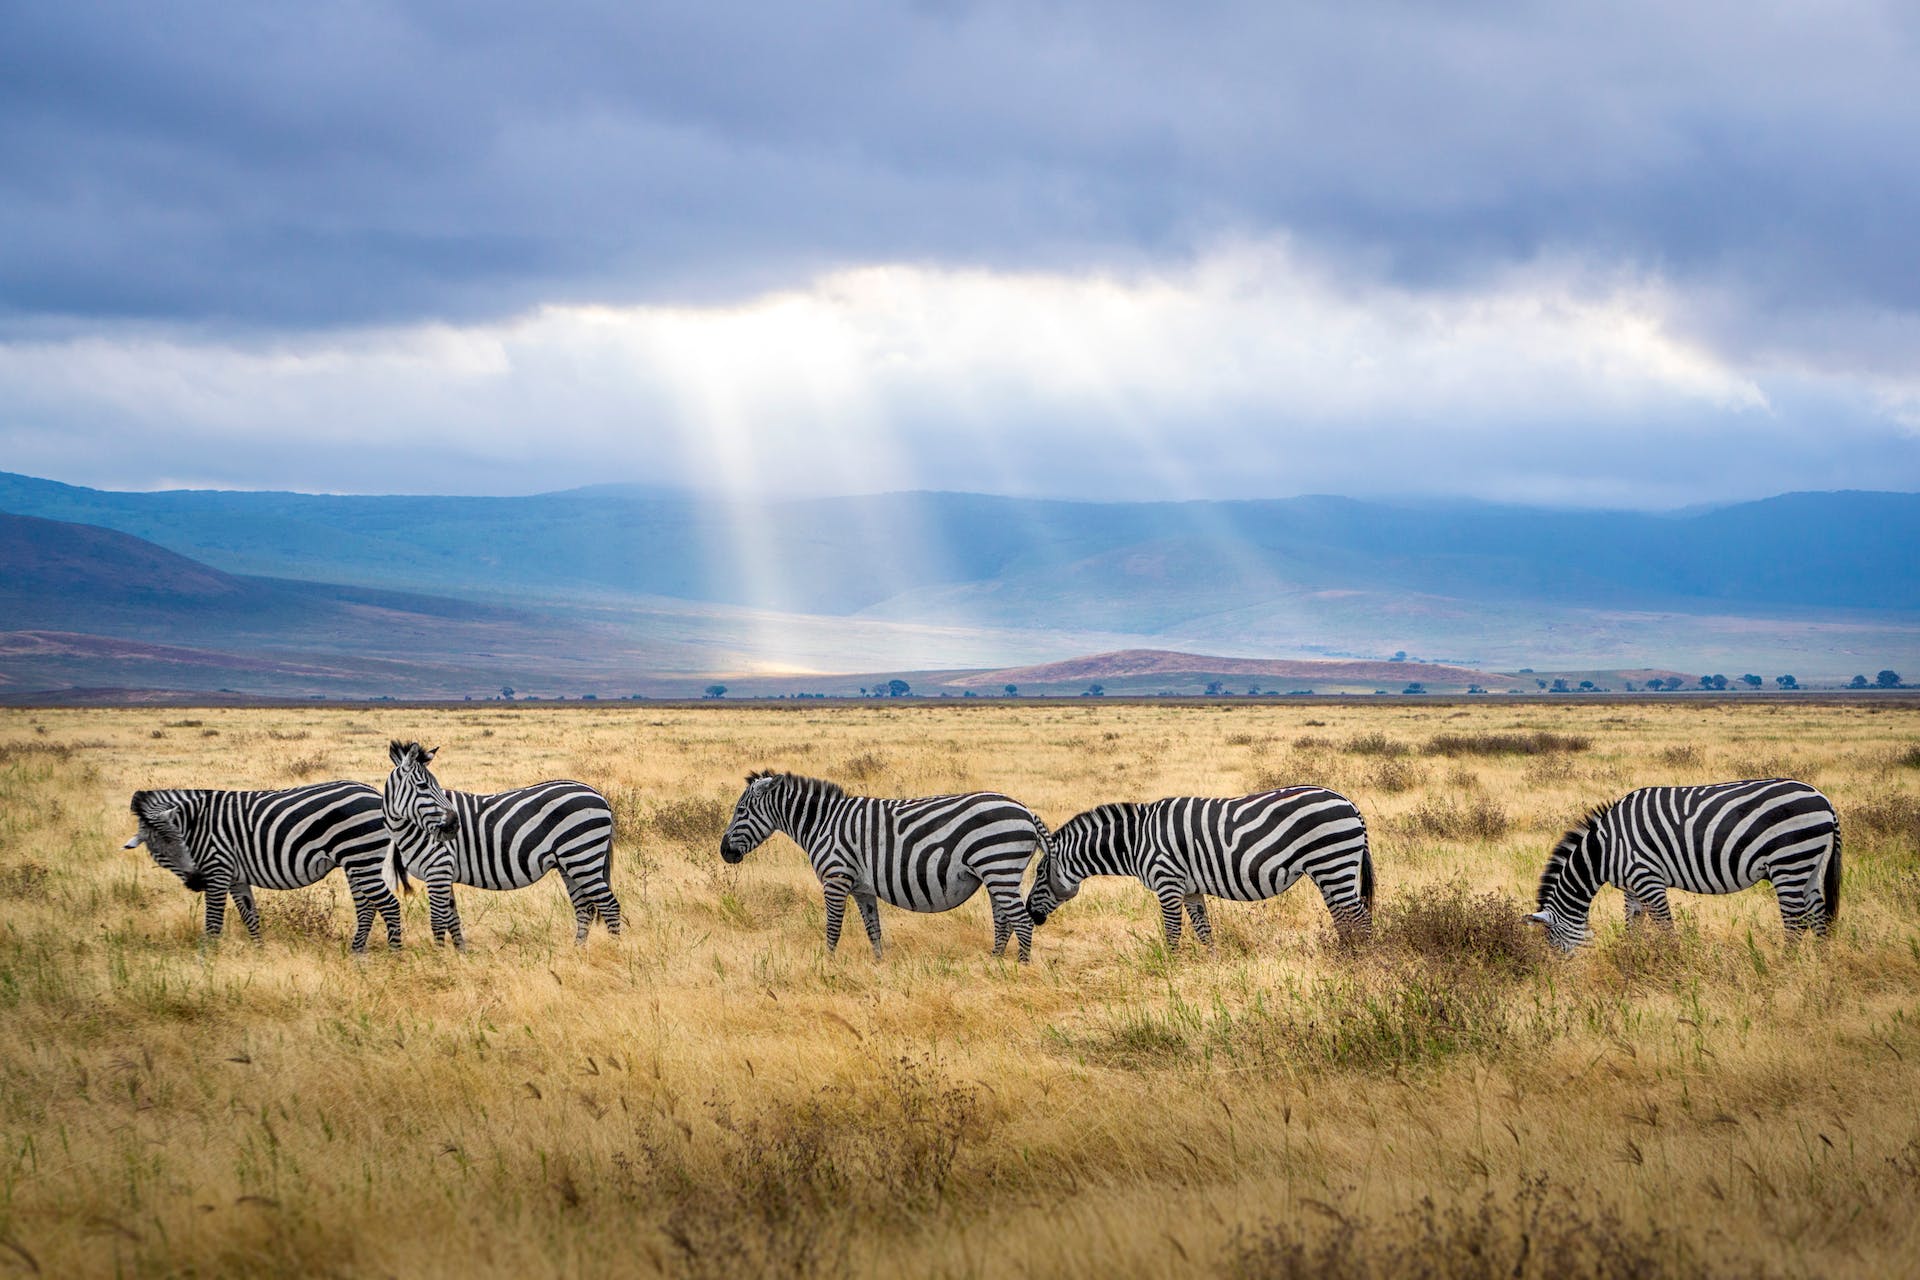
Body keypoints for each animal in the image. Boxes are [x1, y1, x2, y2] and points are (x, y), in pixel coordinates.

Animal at [122, 782, 401, 951]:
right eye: (159, 853)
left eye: (182, 841)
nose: (197, 882)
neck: (197, 824)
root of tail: (375, 793)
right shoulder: (235, 878)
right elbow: (250, 916)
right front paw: (259, 952)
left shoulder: (218, 869)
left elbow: (213, 922)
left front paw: (207, 960)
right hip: (356, 862)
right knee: (366, 907)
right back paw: (357, 953)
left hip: (361, 857)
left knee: (389, 905)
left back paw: (394, 955)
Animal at [385, 740, 625, 951]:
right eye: (423, 785)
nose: (454, 825)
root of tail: (598, 795)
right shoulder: (444, 873)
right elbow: (452, 919)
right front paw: (461, 955)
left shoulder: (438, 869)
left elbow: (438, 920)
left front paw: (440, 958)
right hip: (569, 864)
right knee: (585, 908)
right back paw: (578, 951)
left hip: (582, 856)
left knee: (609, 906)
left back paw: (614, 950)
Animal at [721, 771, 1052, 959]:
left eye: (740, 811)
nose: (724, 852)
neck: (822, 823)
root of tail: (1026, 810)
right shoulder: (862, 888)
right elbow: (873, 929)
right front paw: (879, 966)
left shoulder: (836, 878)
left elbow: (833, 928)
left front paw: (827, 965)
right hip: (997, 873)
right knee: (1003, 921)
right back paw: (994, 962)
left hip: (999, 867)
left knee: (1021, 922)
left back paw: (1020, 969)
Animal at [1029, 786, 1374, 948]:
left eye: (1039, 873)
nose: (1031, 914)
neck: (1136, 841)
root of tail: (1349, 803)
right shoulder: (1190, 889)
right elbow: (1204, 931)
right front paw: (1211, 966)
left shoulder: (1167, 882)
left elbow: (1172, 932)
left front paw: (1169, 970)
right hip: (1328, 870)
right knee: (1344, 916)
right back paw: (1344, 954)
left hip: (1332, 862)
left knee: (1359, 916)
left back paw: (1360, 959)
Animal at [1528, 775, 1843, 955]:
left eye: (1554, 943)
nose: (1563, 977)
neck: (1604, 850)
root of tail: (1824, 799)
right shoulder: (1631, 887)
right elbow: (1634, 925)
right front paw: (1632, 957)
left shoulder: (1648, 879)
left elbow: (1665, 927)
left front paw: (1673, 962)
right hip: (1809, 864)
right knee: (1818, 916)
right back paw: (1821, 967)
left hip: (1788, 861)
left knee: (1795, 922)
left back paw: (1784, 967)